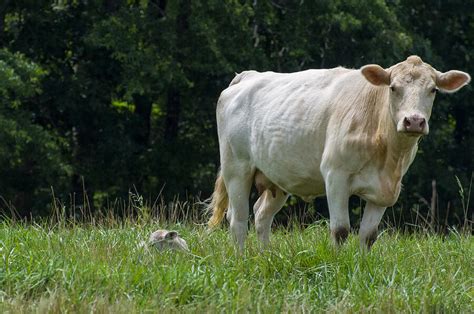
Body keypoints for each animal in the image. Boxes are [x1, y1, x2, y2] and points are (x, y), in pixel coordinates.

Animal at [207, 56, 470, 251]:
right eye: (393, 88)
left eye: (433, 89)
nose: (414, 121)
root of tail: (250, 75)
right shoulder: (336, 176)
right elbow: (341, 230)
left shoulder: (385, 191)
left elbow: (368, 235)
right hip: (236, 168)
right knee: (238, 220)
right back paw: (241, 259)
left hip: (277, 177)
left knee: (261, 215)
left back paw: (265, 256)